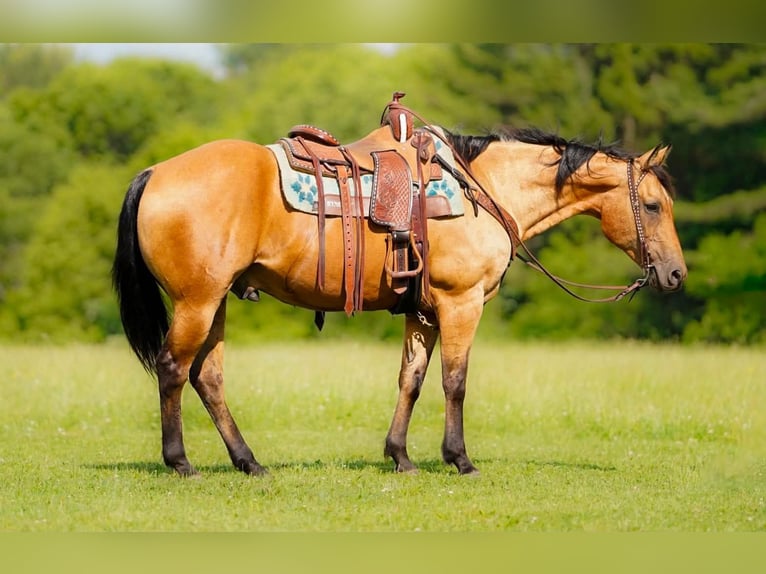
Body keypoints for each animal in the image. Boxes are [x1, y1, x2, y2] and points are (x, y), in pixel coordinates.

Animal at [112, 103, 687, 477]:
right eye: (653, 205)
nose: (677, 274)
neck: (483, 191)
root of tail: (155, 172)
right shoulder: (461, 303)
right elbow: (455, 382)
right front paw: (459, 459)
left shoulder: (424, 311)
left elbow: (410, 380)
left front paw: (401, 456)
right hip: (197, 302)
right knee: (173, 369)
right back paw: (181, 462)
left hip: (215, 303)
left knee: (207, 378)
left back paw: (248, 462)